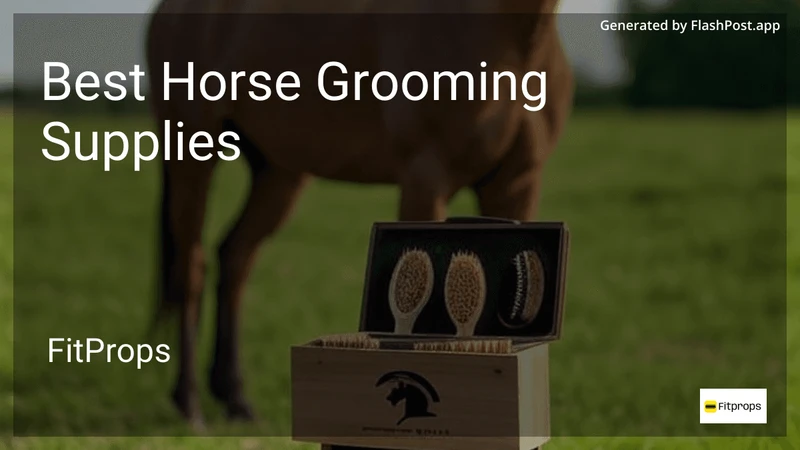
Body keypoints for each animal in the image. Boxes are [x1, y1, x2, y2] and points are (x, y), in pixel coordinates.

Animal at [145, 0, 574, 428]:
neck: (506, 34)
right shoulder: (424, 176)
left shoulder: (517, 183)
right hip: (192, 148)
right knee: (192, 269)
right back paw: (189, 403)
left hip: (278, 172)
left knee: (235, 259)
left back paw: (236, 399)